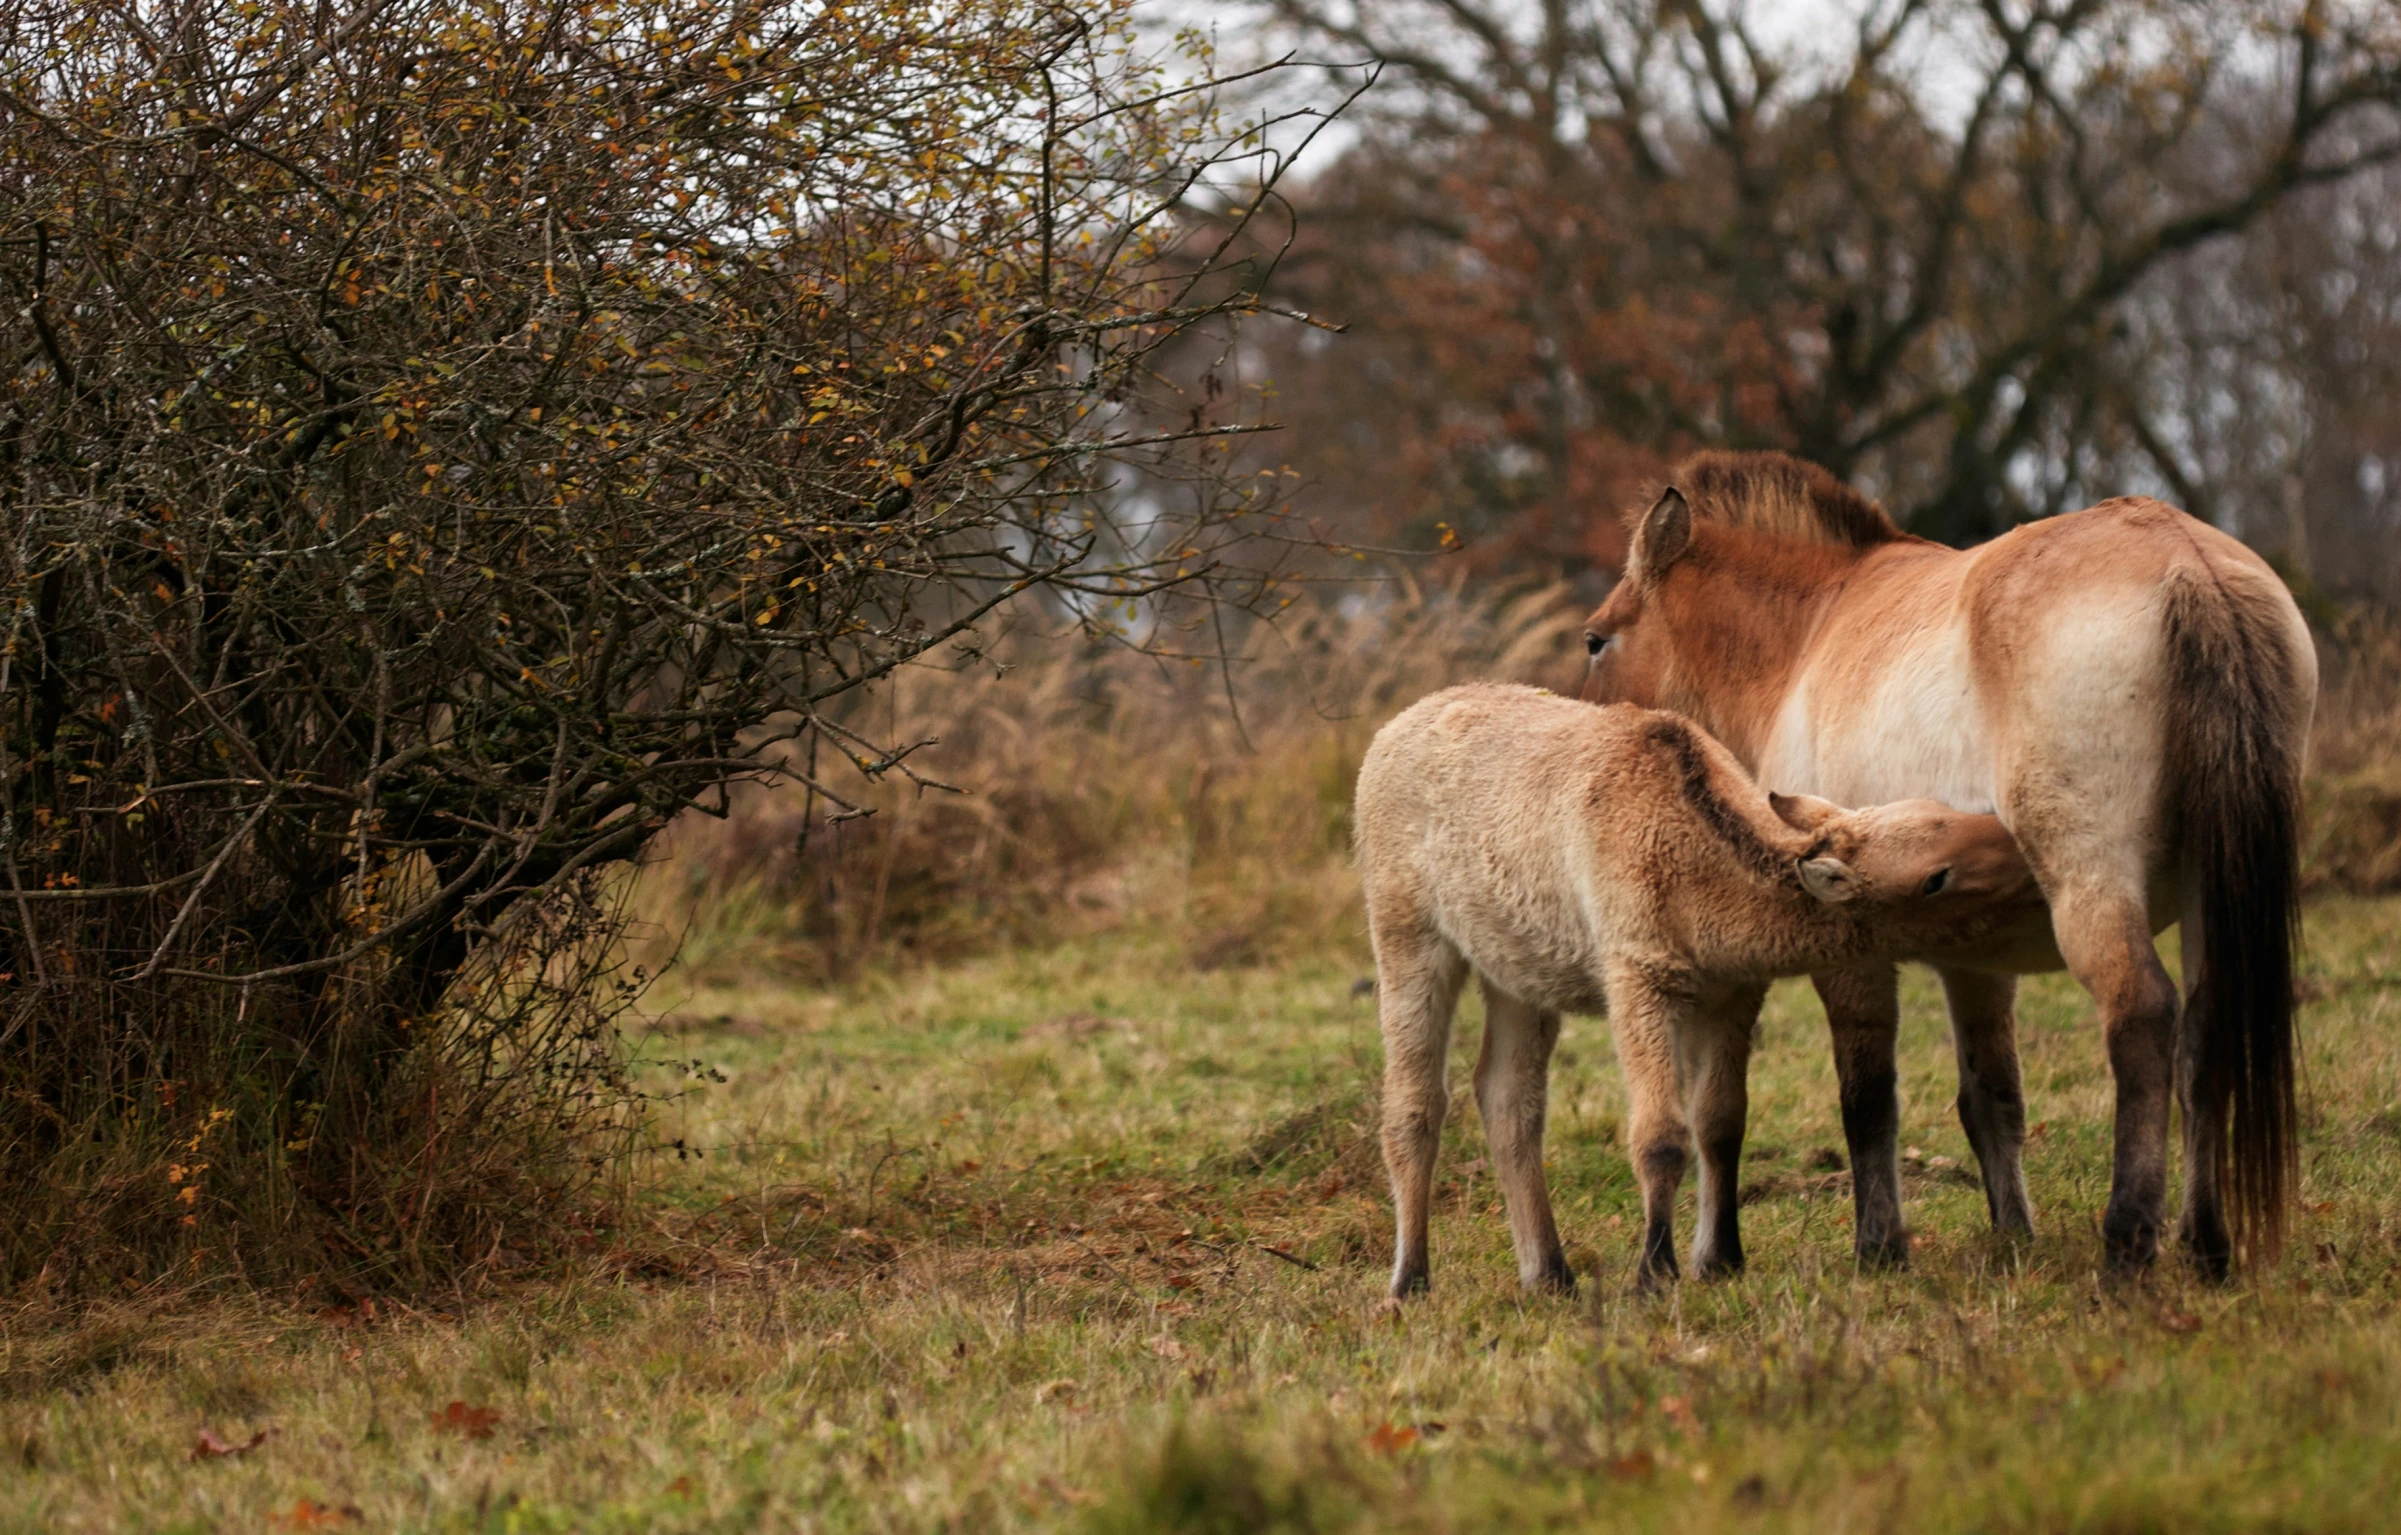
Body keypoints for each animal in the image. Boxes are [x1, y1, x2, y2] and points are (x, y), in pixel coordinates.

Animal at [1575, 454, 2304, 1268]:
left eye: (1595, 640)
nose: (1594, 749)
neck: (1810, 633)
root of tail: (2186, 565)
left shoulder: (1850, 949)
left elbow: (1866, 1097)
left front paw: (1878, 1245)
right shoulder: (1974, 960)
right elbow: (1990, 1097)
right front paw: (2012, 1232)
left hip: (2092, 887)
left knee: (2141, 1016)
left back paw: (2127, 1238)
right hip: (2212, 892)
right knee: (2207, 1036)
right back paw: (2204, 1243)